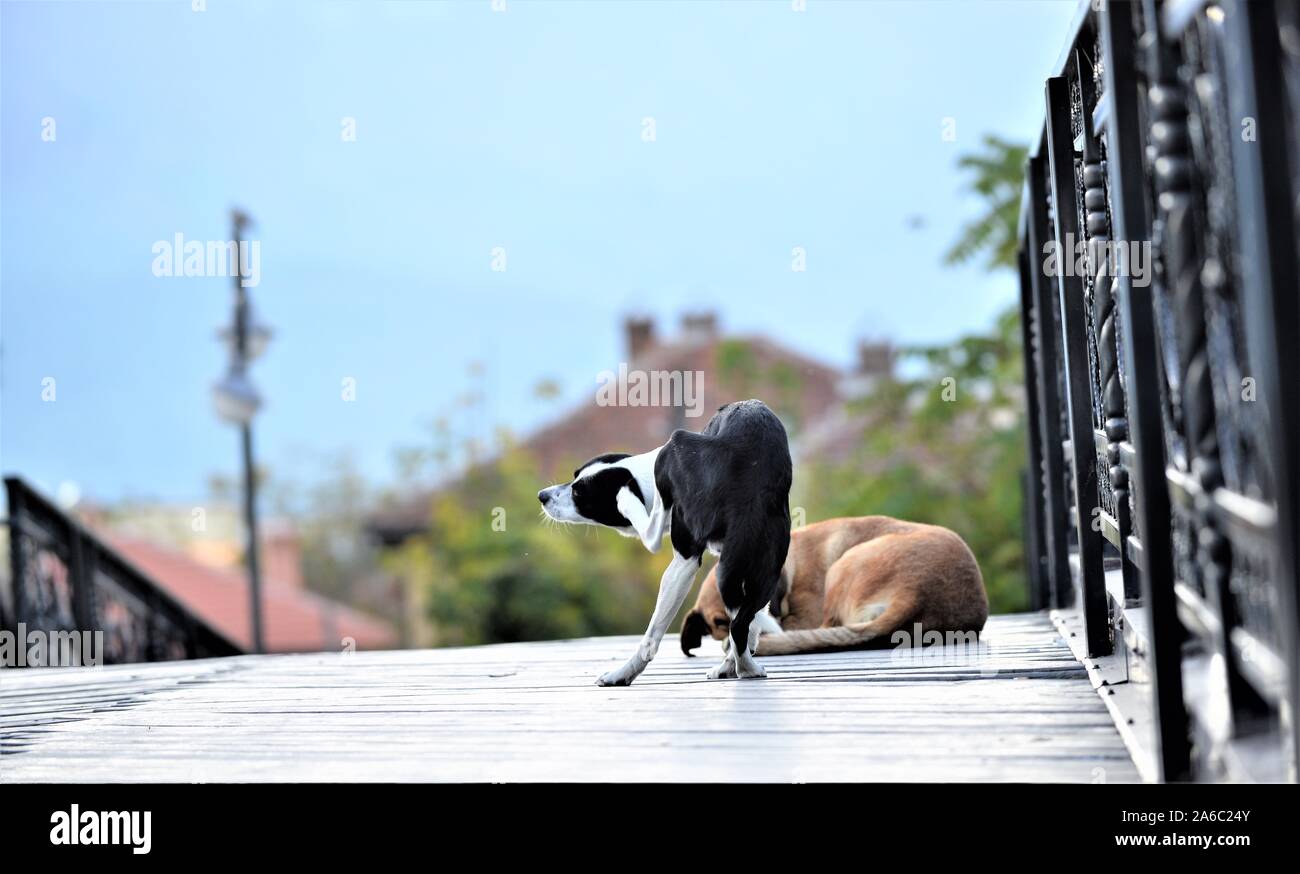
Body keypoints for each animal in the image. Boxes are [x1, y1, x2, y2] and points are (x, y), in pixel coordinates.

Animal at [538, 400, 790, 686]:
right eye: (574, 477)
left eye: (579, 493)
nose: (542, 496)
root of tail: (750, 490)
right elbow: (752, 625)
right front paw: (733, 662)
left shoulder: (685, 561)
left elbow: (651, 638)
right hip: (758, 570)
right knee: (741, 624)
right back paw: (746, 668)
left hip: (677, 443)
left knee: (652, 539)